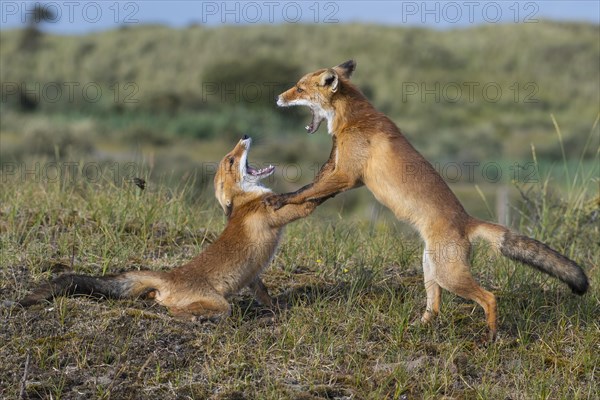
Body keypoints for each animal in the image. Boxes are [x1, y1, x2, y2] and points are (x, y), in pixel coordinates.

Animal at [7, 136, 322, 320]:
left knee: (154, 297)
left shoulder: (255, 276)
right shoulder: (277, 215)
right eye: (232, 159)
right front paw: (325, 185)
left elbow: (263, 291)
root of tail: (170, 275)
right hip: (219, 303)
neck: (247, 200)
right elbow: (307, 204)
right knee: (177, 308)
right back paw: (190, 317)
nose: (244, 135)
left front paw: (274, 308)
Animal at [270, 60, 588, 340]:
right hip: (430, 269)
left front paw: (281, 200)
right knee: (434, 307)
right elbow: (313, 189)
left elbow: (305, 190)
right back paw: (418, 328)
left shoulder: (348, 175)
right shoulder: (341, 170)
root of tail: (467, 220)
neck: (353, 118)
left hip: (449, 276)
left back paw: (491, 335)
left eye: (298, 88)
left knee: (490, 297)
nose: (277, 97)